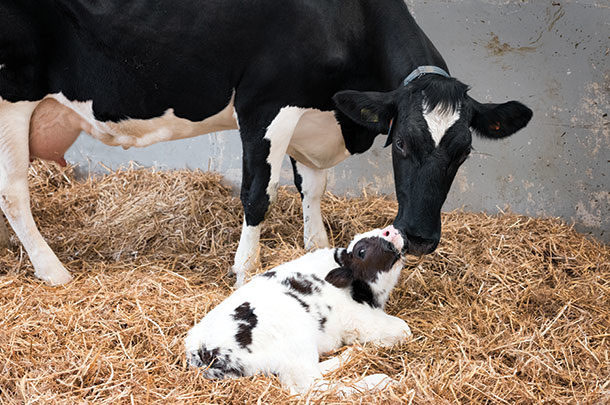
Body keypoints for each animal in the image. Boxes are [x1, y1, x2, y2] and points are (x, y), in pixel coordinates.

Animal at [0, 0, 528, 284]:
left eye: (463, 152)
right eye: (399, 145)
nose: (418, 237)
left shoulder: (314, 115)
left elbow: (313, 191)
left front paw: (319, 251)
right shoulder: (265, 103)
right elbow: (258, 194)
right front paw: (246, 272)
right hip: (11, 97)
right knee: (14, 192)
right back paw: (53, 271)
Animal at [185, 227, 410, 394]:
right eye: (361, 252)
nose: (391, 230)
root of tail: (201, 353)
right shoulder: (360, 319)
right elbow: (403, 330)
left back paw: (351, 354)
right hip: (296, 346)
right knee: (313, 387)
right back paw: (380, 380)